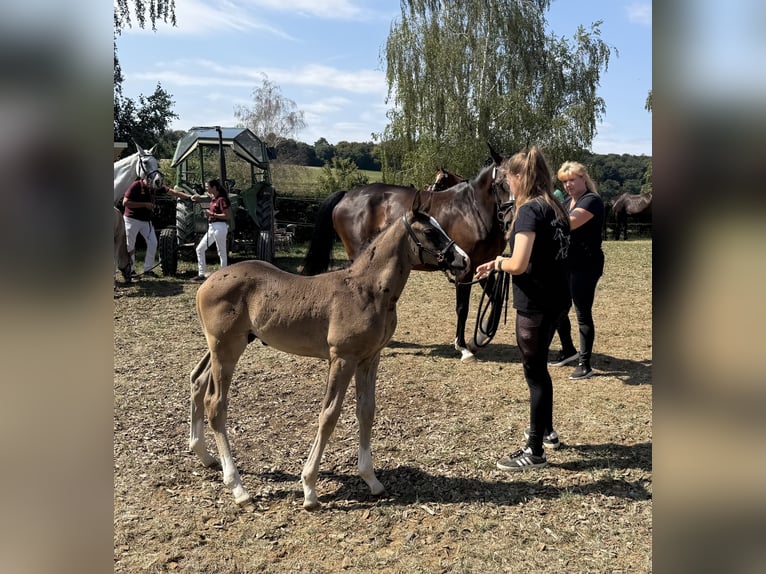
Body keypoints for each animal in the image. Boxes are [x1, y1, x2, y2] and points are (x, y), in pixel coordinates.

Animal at [188, 191, 469, 510]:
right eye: (430, 232)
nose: (464, 260)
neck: (367, 290)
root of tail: (208, 282)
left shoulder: (370, 358)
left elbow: (366, 411)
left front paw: (371, 479)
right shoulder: (342, 358)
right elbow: (329, 415)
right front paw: (310, 488)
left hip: (221, 346)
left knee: (197, 380)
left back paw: (205, 455)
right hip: (227, 348)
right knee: (215, 403)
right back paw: (238, 487)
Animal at [302, 148, 513, 362]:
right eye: (501, 184)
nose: (510, 217)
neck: (473, 209)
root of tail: (346, 195)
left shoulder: (482, 265)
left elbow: (495, 300)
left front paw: (478, 339)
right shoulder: (464, 270)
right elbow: (462, 307)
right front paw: (463, 347)